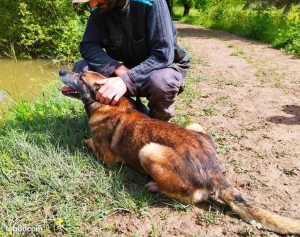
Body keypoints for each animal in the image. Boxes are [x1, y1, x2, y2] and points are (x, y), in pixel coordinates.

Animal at [59, 69, 300, 234]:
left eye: (81, 77)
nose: (61, 71)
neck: (109, 103)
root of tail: (213, 171)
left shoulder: (106, 157)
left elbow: (87, 141)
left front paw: (84, 139)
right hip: (195, 126)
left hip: (148, 151)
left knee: (192, 196)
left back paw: (154, 186)